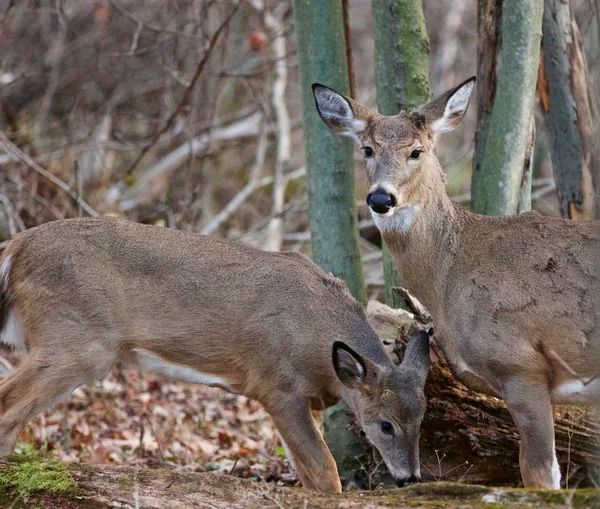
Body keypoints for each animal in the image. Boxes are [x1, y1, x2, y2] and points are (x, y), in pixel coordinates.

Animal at [0, 218, 432, 492]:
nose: (411, 477)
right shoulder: (278, 387)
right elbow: (326, 472)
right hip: (75, 339)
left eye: (422, 420)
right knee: (10, 407)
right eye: (385, 425)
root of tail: (14, 247)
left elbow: (308, 473)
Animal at [314, 78, 600, 488]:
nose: (381, 197)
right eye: (367, 149)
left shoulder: (520, 364)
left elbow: (539, 474)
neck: (450, 276)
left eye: (416, 151)